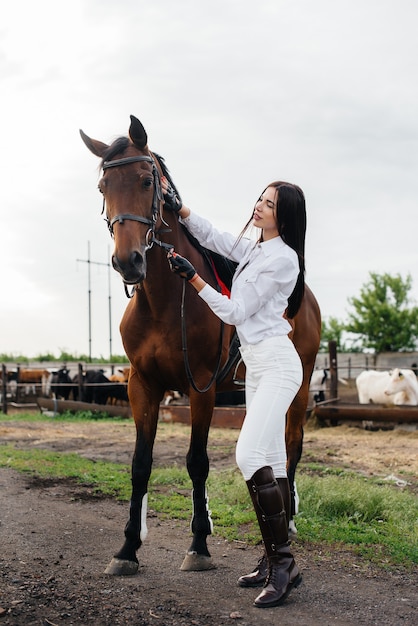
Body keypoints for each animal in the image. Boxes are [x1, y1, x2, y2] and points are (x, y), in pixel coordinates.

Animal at [79, 114, 320, 572]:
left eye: (146, 181)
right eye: (102, 187)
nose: (127, 261)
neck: (165, 302)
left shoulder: (200, 387)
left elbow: (197, 462)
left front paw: (199, 545)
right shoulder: (142, 385)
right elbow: (140, 464)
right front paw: (127, 549)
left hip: (297, 391)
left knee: (292, 445)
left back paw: (291, 520)